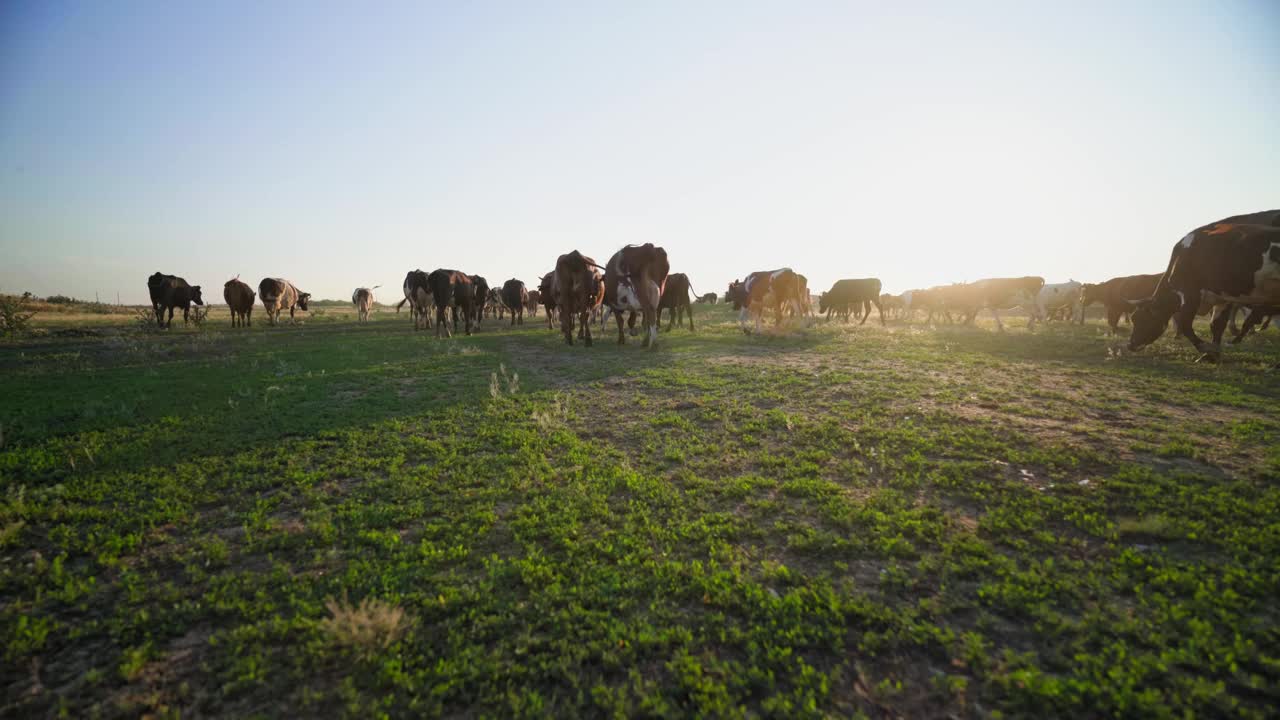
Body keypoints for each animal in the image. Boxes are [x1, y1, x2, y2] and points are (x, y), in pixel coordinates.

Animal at [1131, 221, 1280, 361]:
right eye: (1133, 318)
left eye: (1141, 319)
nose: (1130, 345)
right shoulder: (1222, 298)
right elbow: (1216, 325)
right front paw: (1211, 355)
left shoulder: (1190, 293)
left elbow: (1185, 324)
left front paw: (1205, 349)